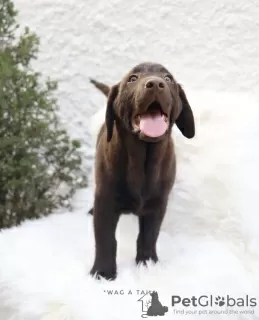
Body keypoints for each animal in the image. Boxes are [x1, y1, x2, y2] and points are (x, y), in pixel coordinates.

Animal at [89, 62, 195, 280]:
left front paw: (147, 265)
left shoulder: (157, 204)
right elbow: (105, 238)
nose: (155, 83)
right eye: (133, 78)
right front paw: (103, 273)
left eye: (168, 78)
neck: (142, 159)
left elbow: (148, 236)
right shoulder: (105, 200)